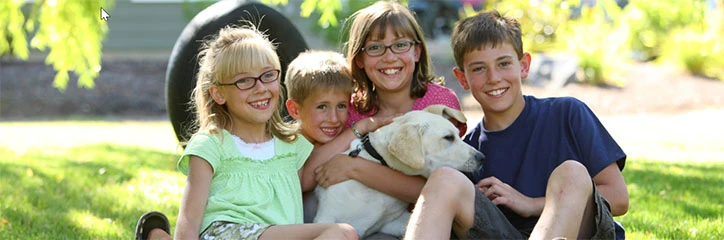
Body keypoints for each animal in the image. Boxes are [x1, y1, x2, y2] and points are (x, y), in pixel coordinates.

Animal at [314, 104, 484, 238]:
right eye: (448, 137)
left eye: (457, 134)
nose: (482, 157)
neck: (378, 163)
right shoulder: (326, 217)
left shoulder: (392, 222)